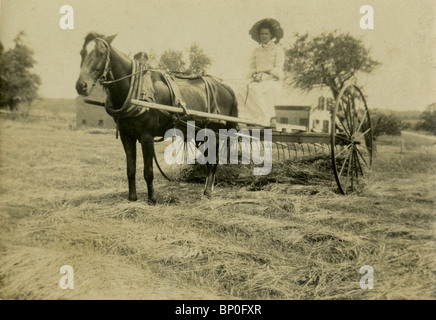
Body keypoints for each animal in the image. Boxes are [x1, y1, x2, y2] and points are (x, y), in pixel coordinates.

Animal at [75, 31, 238, 202]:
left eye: (100, 53)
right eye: (82, 53)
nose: (81, 86)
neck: (135, 89)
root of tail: (225, 87)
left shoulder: (146, 136)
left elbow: (148, 171)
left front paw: (152, 199)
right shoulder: (126, 136)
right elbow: (130, 168)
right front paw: (132, 198)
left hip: (215, 132)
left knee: (213, 161)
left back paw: (208, 192)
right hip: (200, 132)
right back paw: (208, 189)